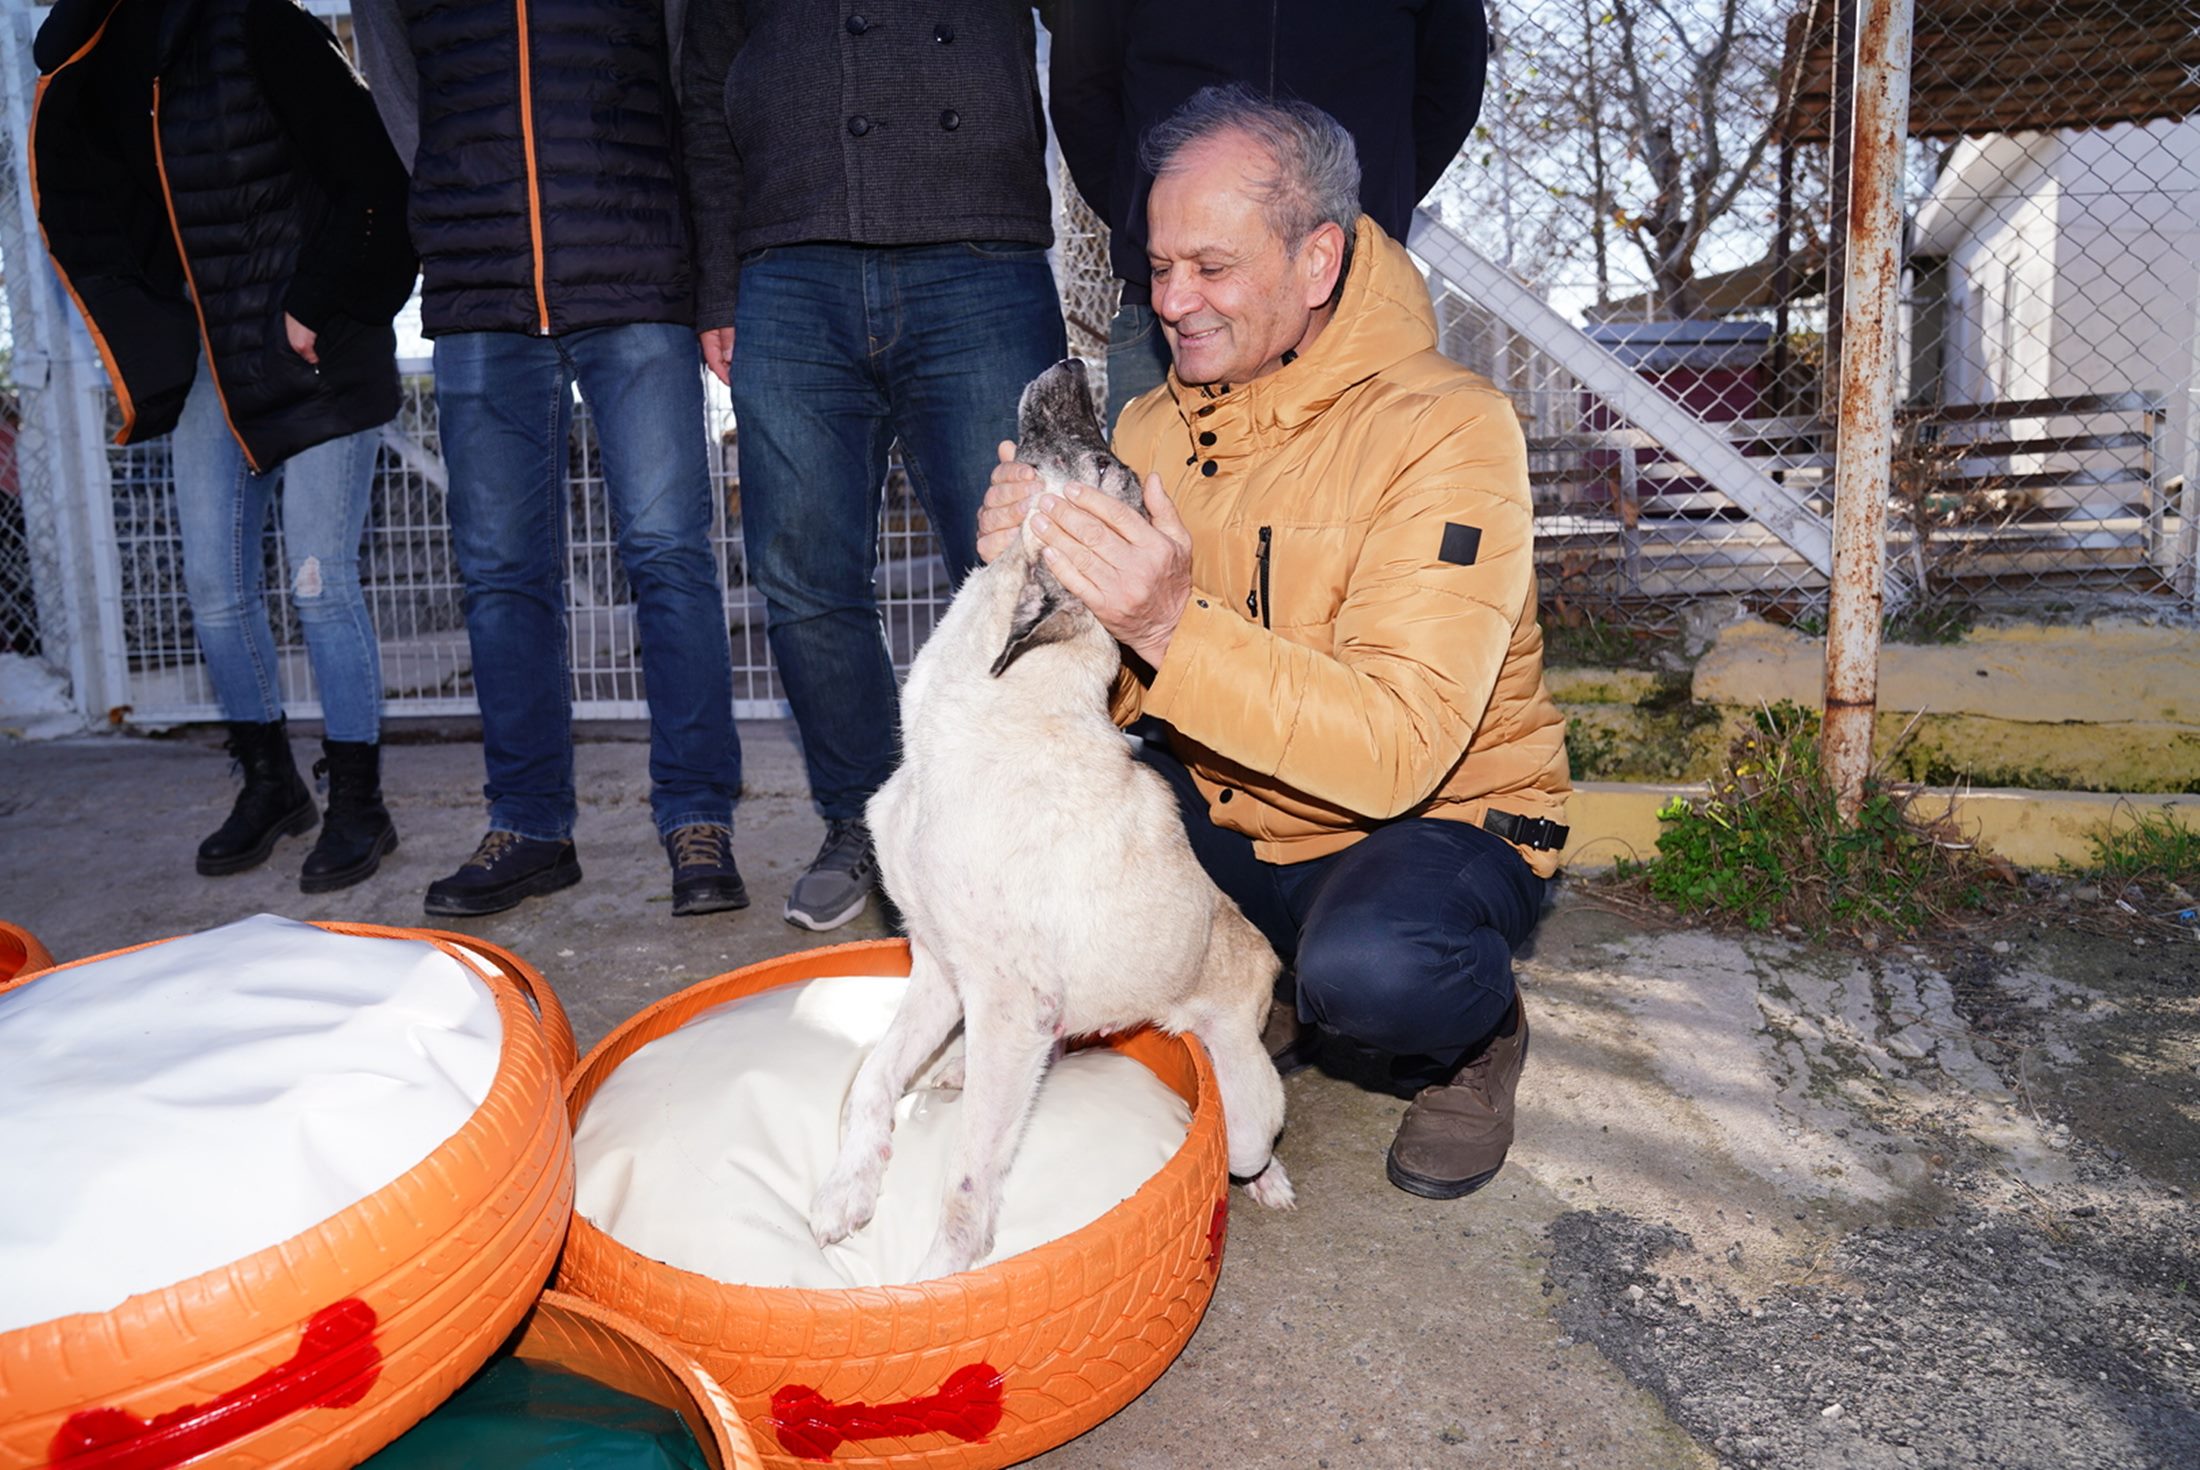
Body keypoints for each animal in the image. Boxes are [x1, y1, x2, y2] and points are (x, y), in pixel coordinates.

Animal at [809, 358, 1284, 1285]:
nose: (1073, 364)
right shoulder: (939, 971)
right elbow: (872, 1077)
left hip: (1243, 1108)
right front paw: (848, 1187)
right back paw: (955, 1072)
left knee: (1252, 1145)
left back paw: (1271, 1181)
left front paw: (936, 1291)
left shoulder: (1010, 1000)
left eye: (1105, 471)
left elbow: (967, 1184)